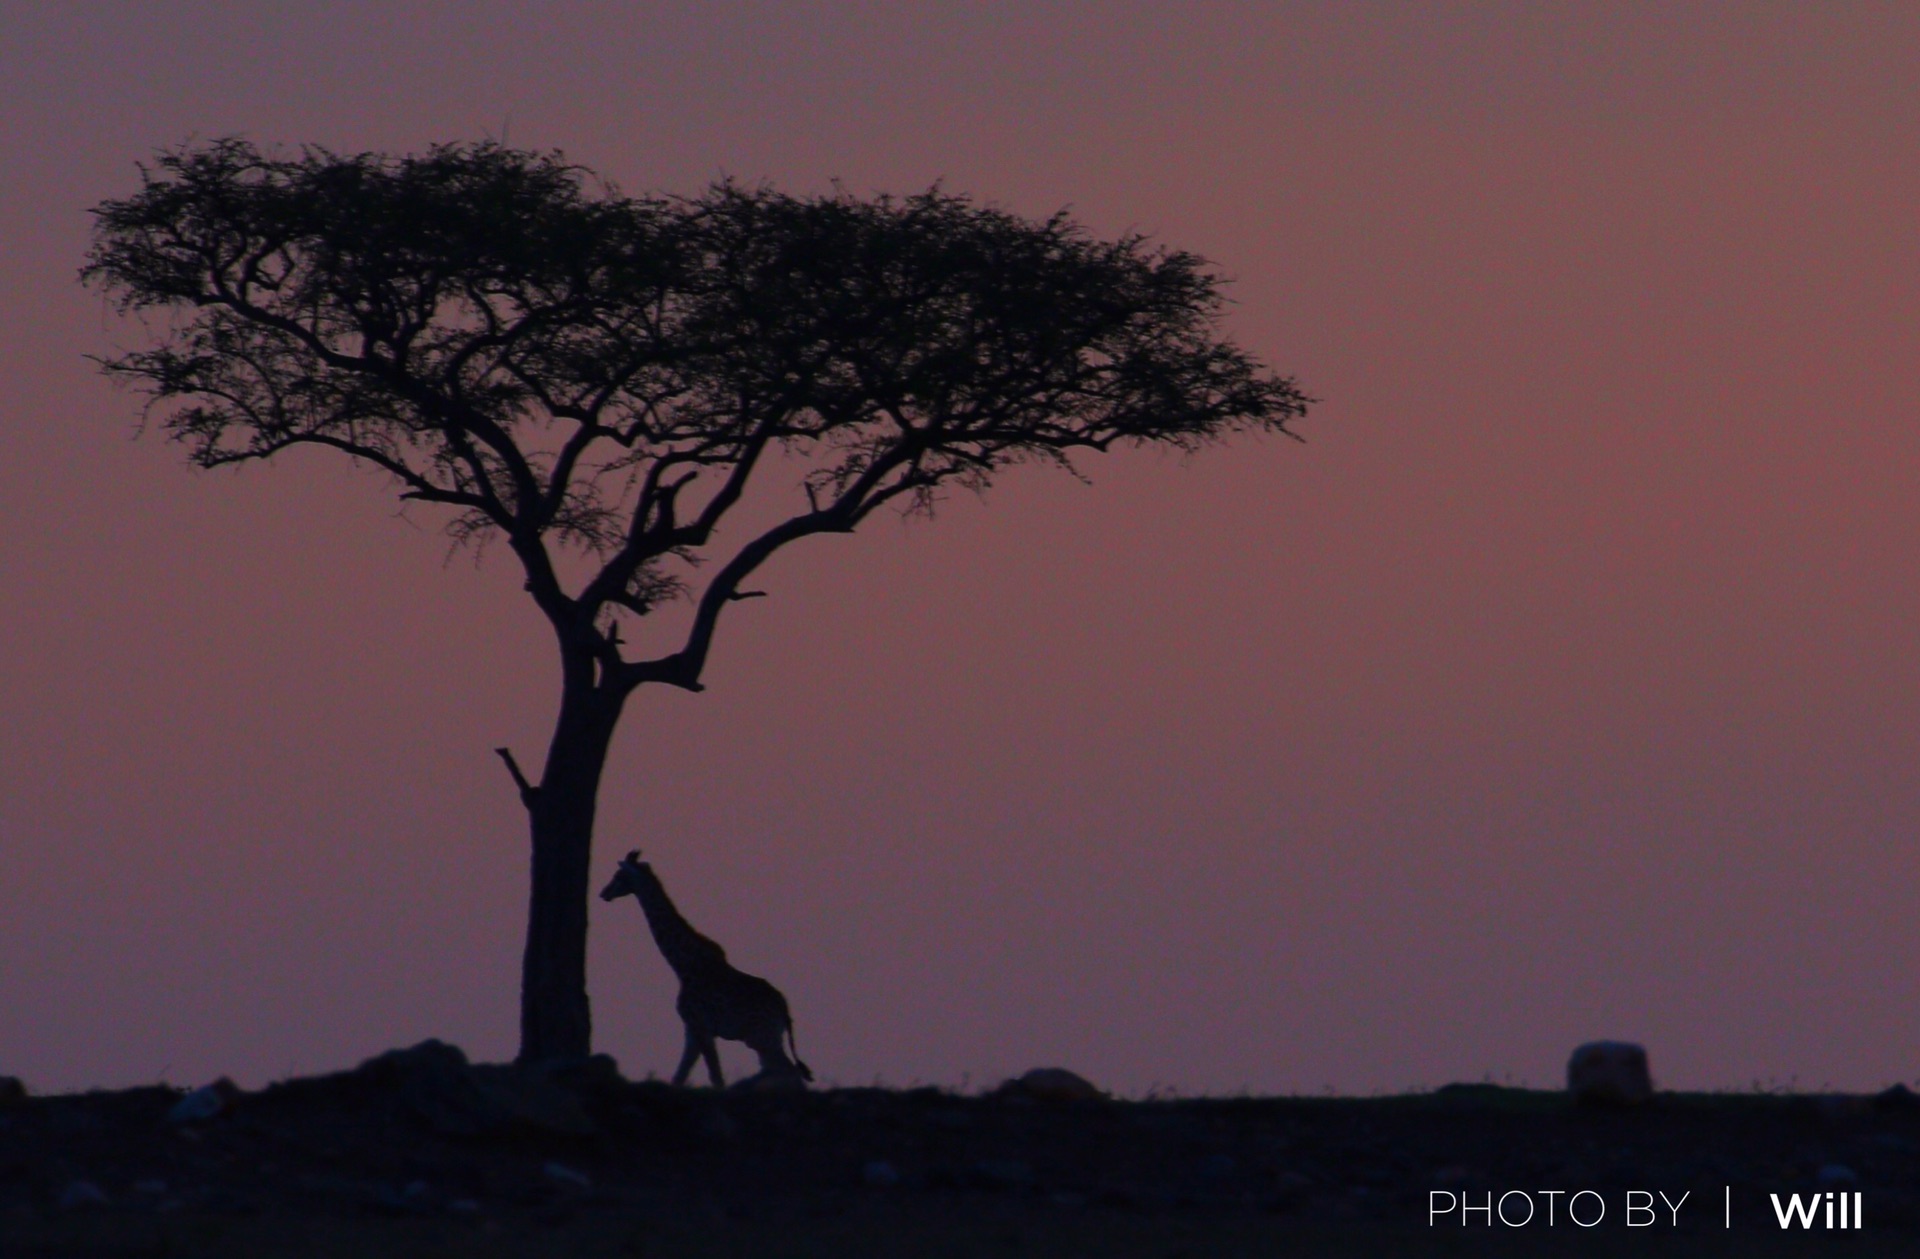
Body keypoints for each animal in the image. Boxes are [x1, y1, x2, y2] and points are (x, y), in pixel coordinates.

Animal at [599, 852, 810, 1090]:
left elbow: (715, 1077)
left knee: (787, 1071)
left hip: (760, 1037)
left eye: (619, 875)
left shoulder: (701, 1027)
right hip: (766, 1038)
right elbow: (680, 1077)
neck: (683, 966)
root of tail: (784, 1010)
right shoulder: (691, 1030)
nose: (603, 893)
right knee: (784, 1072)